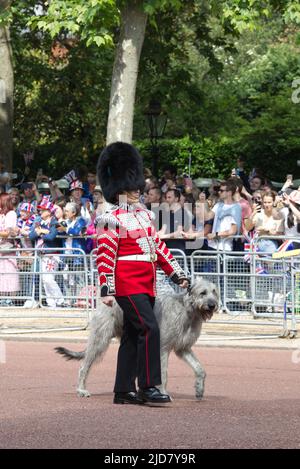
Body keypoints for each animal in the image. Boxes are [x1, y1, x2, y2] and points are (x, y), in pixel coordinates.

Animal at [55, 276, 218, 400]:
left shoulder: (183, 348)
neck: (187, 310)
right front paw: (163, 393)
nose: (212, 305)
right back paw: (81, 390)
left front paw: (199, 389)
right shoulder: (162, 348)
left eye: (214, 292)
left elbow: (200, 369)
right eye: (203, 293)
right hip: (100, 339)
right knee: (84, 366)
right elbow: (163, 373)